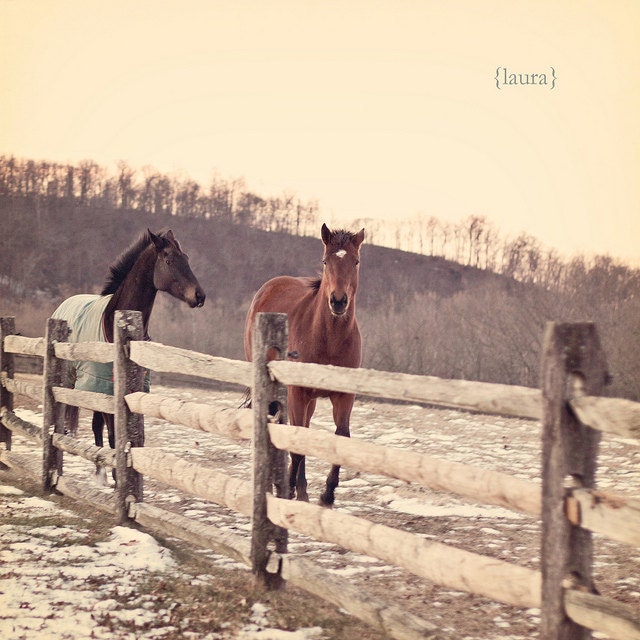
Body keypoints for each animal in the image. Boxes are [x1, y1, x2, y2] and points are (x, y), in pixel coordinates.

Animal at [52, 228, 205, 483]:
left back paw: (100, 471)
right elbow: (115, 434)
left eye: (186, 258)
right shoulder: (107, 387)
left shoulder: (134, 391)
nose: (199, 295)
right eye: (168, 260)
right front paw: (118, 476)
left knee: (95, 424)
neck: (117, 323)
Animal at [244, 223, 364, 507]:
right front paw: (285, 491)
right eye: (325, 261)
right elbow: (296, 444)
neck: (329, 340)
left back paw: (302, 490)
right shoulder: (297, 393)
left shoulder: (344, 396)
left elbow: (341, 436)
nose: (338, 301)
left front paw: (327, 494)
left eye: (355, 261)